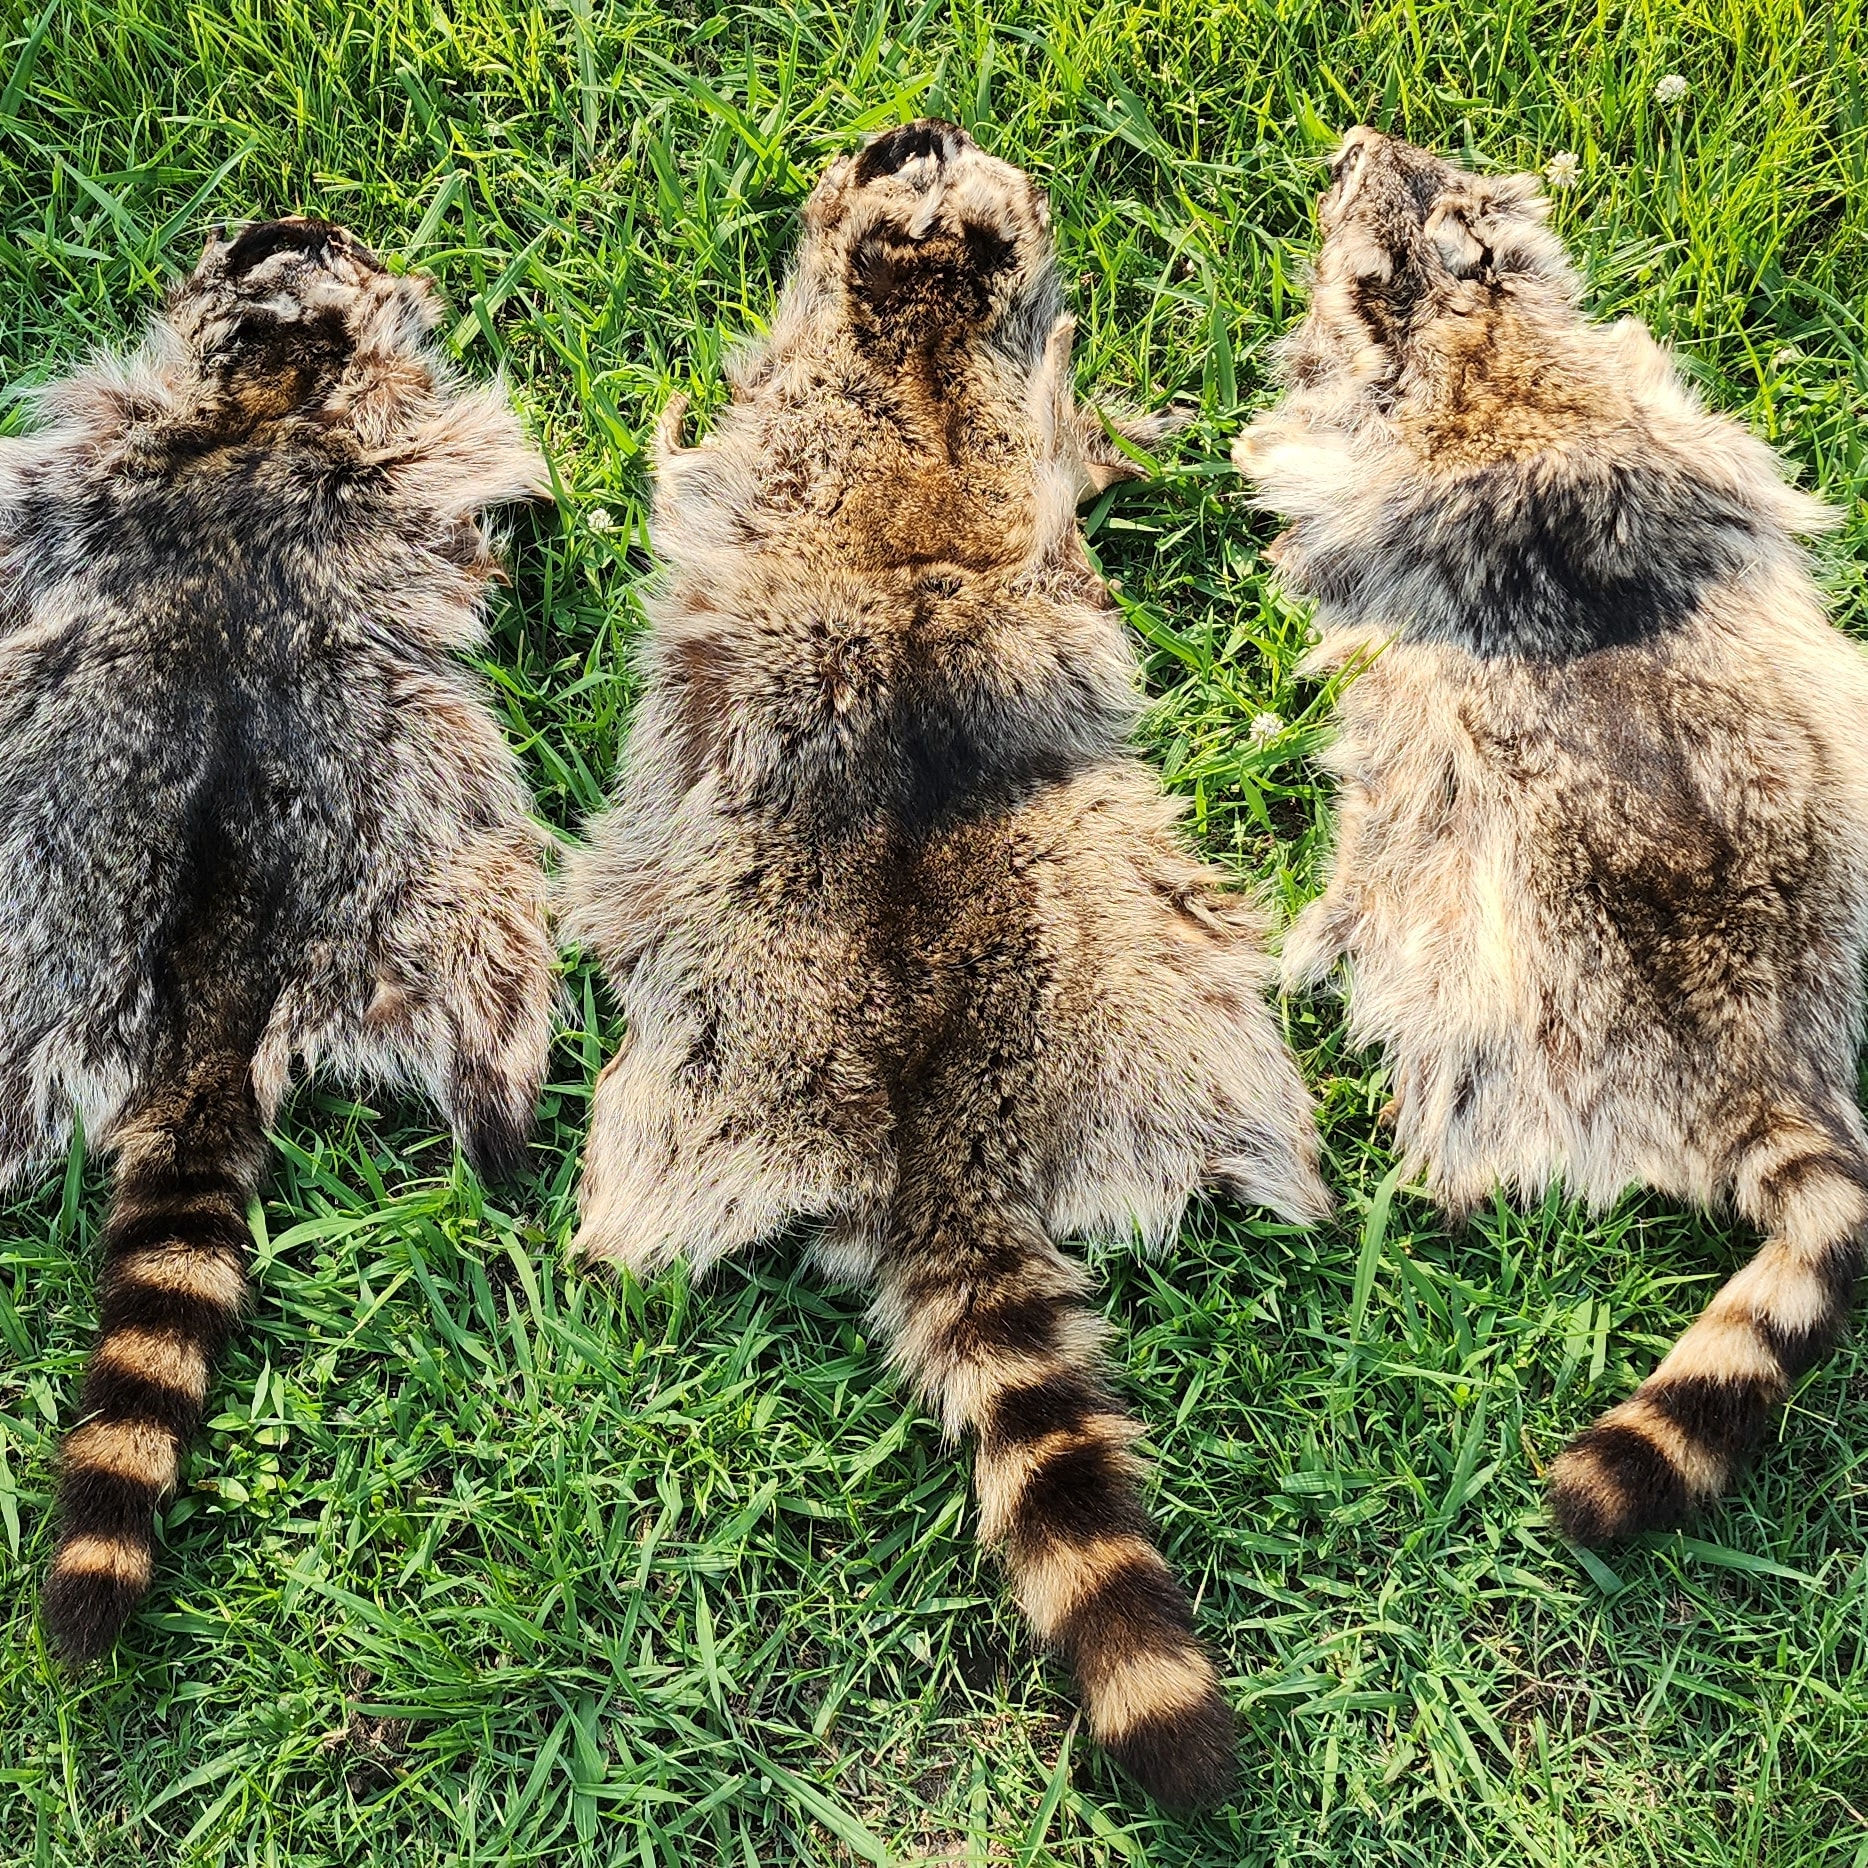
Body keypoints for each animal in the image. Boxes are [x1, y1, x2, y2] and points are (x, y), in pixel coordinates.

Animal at [1, 219, 557, 1660]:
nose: (374, 245)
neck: (264, 398)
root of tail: (218, 979)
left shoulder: (104, 465)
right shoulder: (368, 460)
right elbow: (470, 484)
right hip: (422, 867)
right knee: (497, 969)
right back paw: (505, 1114)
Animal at [563, 122, 1329, 1808]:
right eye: (903, 160)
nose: (915, 130)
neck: (912, 331)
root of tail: (935, 1127)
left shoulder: (814, 414)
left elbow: (700, 465)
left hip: (738, 1063)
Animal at [1233, 128, 1868, 1549]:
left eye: (1341, 194)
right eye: (1408, 157)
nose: (1353, 137)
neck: (1478, 329)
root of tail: (1756, 1049)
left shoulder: (1375, 459)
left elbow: (1302, 474)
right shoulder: (1655, 419)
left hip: (1493, 992)